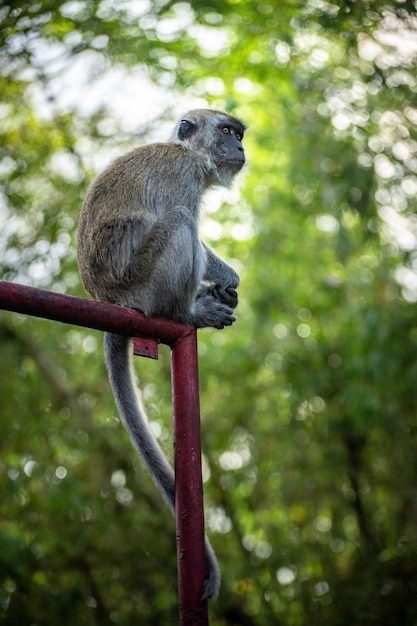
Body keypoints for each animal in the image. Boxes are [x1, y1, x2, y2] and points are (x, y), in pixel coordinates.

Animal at [77, 108, 245, 600]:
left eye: (238, 133)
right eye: (226, 131)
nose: (240, 147)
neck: (188, 153)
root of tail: (112, 301)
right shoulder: (184, 176)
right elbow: (186, 218)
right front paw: (226, 276)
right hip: (145, 284)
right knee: (180, 222)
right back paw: (189, 311)